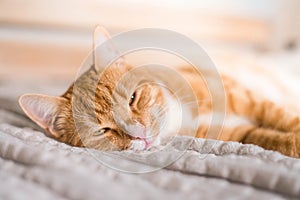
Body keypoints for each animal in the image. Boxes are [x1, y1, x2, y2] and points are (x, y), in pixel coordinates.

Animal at [18, 27, 300, 158]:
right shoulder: (240, 133)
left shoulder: (249, 98)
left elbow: (285, 118)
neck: (181, 115)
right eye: (102, 130)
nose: (140, 135)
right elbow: (273, 140)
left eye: (132, 98)